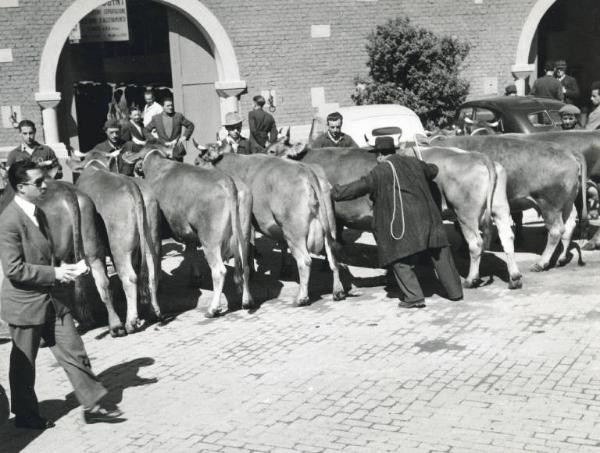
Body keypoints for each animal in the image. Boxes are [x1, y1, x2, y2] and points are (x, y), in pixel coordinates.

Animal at [68, 152, 161, 332]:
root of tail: (131, 185)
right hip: (151, 239)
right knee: (152, 272)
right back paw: (154, 311)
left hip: (119, 248)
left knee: (130, 278)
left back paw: (130, 322)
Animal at [122, 143, 253, 316]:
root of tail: (227, 181)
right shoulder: (188, 231)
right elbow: (190, 252)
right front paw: (195, 277)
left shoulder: (156, 232)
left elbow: (157, 257)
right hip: (243, 234)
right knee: (245, 266)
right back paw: (247, 301)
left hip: (210, 240)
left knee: (219, 271)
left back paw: (212, 309)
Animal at [196, 139, 344, 306]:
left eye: (199, 160)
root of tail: (307, 171)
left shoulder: (247, 223)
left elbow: (248, 247)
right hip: (330, 226)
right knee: (333, 257)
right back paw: (338, 291)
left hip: (294, 232)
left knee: (305, 261)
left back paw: (301, 298)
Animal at [266, 141, 520, 288]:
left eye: (270, 150)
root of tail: (480, 156)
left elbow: (332, 243)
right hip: (499, 209)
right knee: (507, 237)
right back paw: (515, 277)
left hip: (465, 213)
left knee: (476, 243)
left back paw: (471, 279)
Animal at [434, 132, 584, 270]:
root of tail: (569, 153)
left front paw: (463, 251)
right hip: (567, 204)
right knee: (569, 227)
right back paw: (561, 258)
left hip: (550, 206)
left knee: (556, 231)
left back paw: (541, 263)